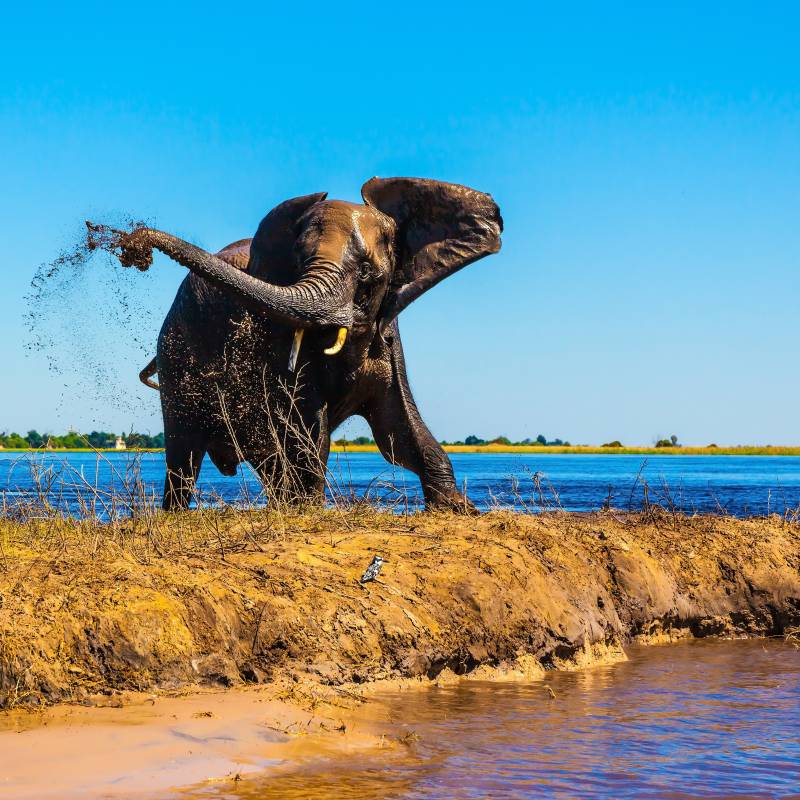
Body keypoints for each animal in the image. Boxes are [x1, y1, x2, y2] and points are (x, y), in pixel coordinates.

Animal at [89, 177, 502, 511]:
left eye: (367, 274)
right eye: (297, 263)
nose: (133, 245)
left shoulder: (388, 335)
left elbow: (399, 431)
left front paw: (458, 509)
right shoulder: (279, 340)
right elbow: (308, 428)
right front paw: (310, 511)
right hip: (175, 355)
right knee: (184, 454)